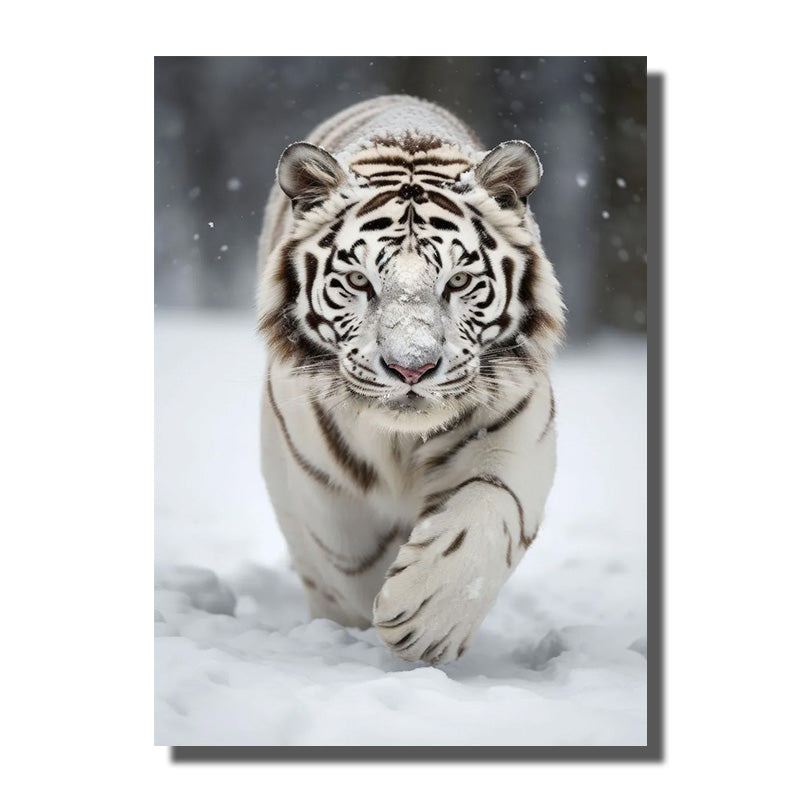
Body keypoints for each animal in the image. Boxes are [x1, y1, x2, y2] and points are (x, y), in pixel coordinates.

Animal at [257, 95, 564, 665]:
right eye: (359, 281)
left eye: (459, 280)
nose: (412, 367)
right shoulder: (320, 480)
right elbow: (350, 565)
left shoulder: (517, 429)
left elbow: (487, 513)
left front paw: (423, 620)